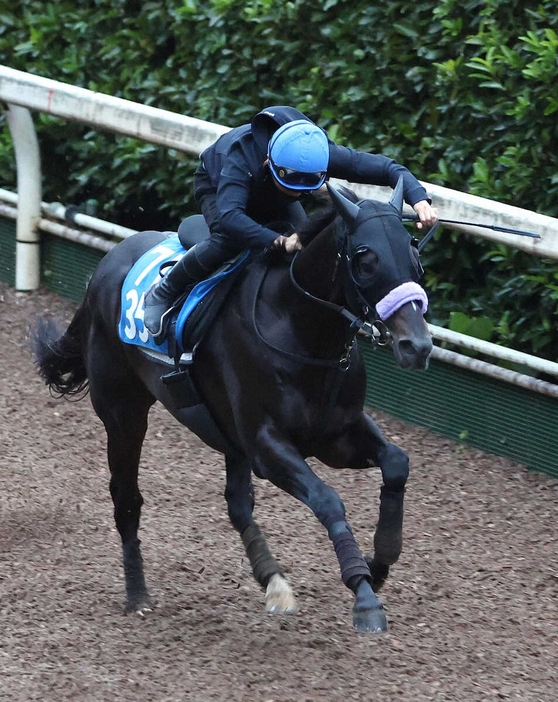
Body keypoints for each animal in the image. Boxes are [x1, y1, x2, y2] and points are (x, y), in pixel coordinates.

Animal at [30, 180, 436, 632]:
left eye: (414, 254)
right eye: (366, 259)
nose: (416, 345)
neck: (298, 327)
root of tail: (104, 267)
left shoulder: (336, 434)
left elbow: (397, 462)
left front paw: (378, 562)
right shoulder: (266, 446)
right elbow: (328, 500)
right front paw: (364, 596)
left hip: (226, 434)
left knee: (237, 504)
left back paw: (273, 579)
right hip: (123, 413)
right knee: (127, 499)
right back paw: (137, 595)